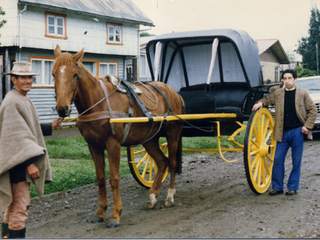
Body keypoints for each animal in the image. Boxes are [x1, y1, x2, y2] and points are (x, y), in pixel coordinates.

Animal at [51, 45, 184, 229]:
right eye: (53, 74)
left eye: (75, 74)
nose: (61, 108)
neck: (98, 100)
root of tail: (173, 92)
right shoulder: (93, 145)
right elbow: (100, 178)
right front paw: (100, 212)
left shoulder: (112, 144)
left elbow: (114, 178)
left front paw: (115, 215)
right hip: (149, 139)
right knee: (162, 162)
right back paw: (152, 196)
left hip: (173, 134)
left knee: (171, 163)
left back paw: (169, 196)